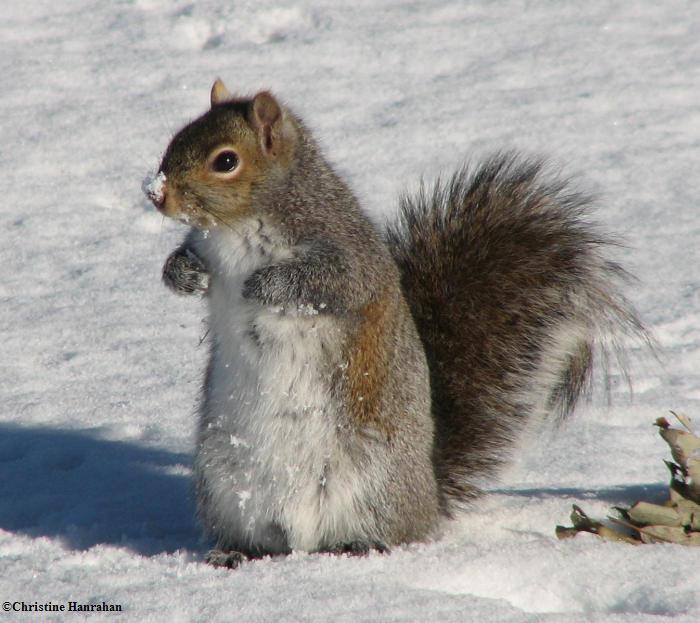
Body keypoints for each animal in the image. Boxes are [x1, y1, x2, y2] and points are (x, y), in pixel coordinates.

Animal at [145, 78, 648, 564]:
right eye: (176, 138)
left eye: (226, 161)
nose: (156, 194)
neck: (233, 229)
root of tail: (429, 497)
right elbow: (184, 262)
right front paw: (183, 273)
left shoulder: (347, 254)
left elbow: (335, 282)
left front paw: (264, 284)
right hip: (222, 482)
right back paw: (233, 552)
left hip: (375, 480)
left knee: (388, 533)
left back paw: (360, 545)